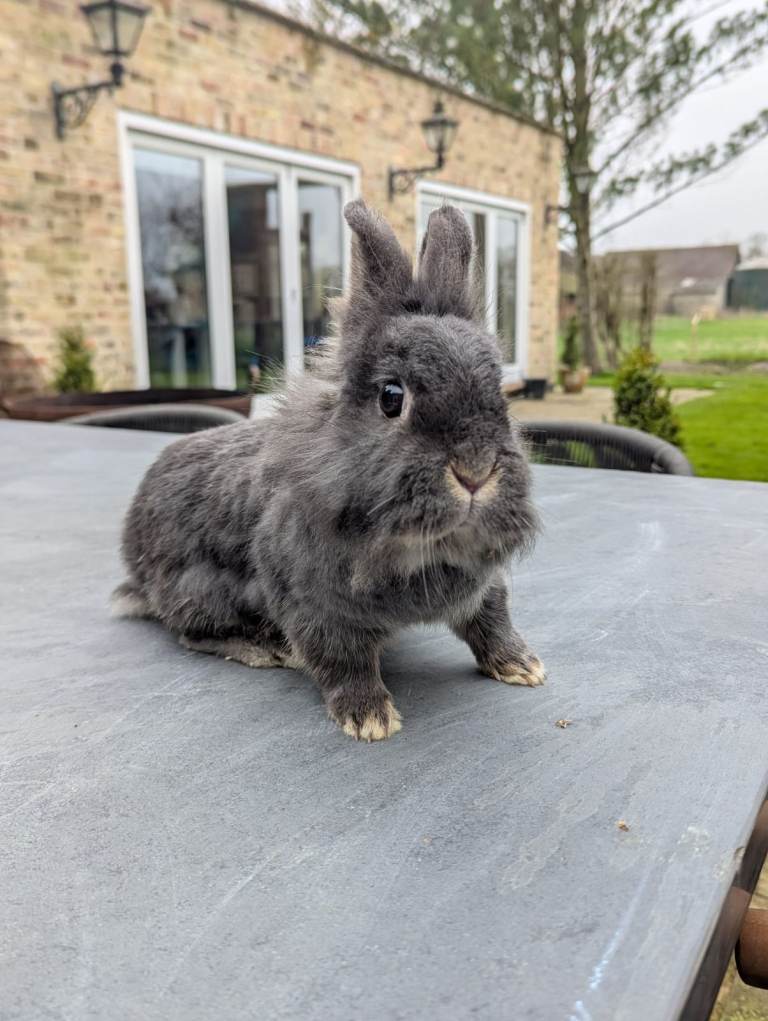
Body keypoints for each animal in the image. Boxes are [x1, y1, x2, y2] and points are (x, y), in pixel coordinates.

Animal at [112, 198, 544, 741]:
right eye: (391, 398)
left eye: (501, 397)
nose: (475, 470)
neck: (419, 549)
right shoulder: (313, 607)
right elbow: (342, 661)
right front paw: (370, 719)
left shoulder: (484, 587)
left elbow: (492, 619)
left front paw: (523, 667)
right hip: (198, 590)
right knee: (192, 633)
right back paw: (264, 649)